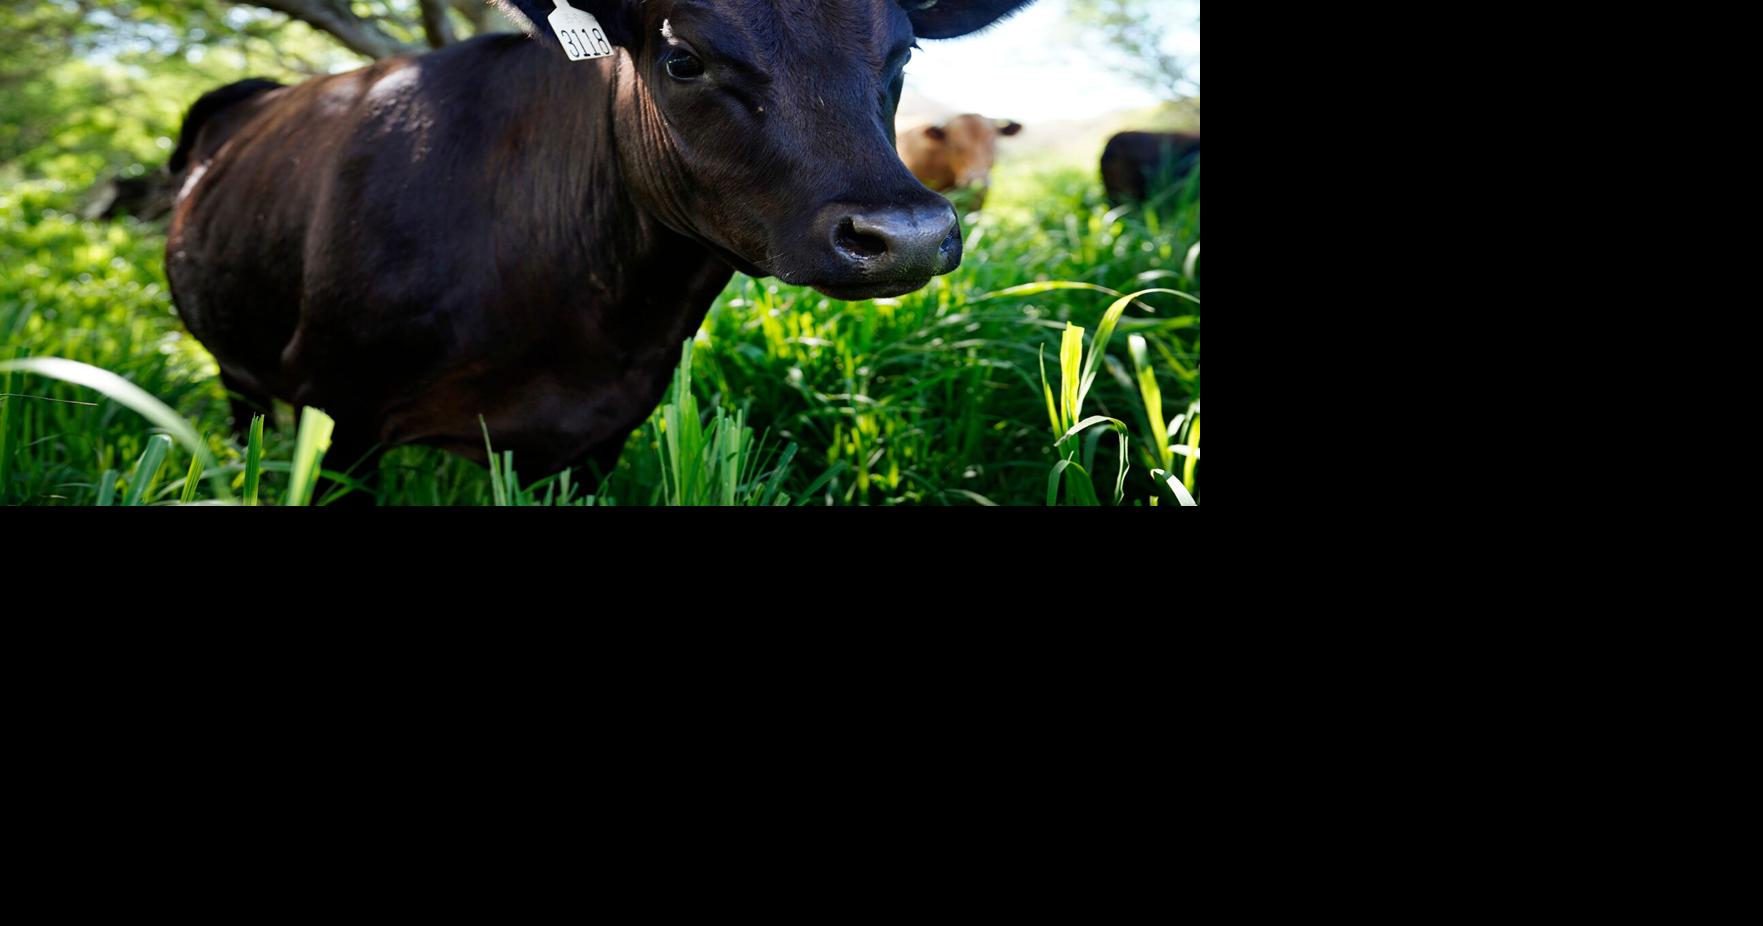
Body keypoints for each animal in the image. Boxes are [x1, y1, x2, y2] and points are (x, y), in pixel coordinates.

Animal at [164, 0, 1034, 500]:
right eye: (682, 58)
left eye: (903, 55)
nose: (906, 235)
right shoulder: (339, 414)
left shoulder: (600, 433)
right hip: (235, 369)